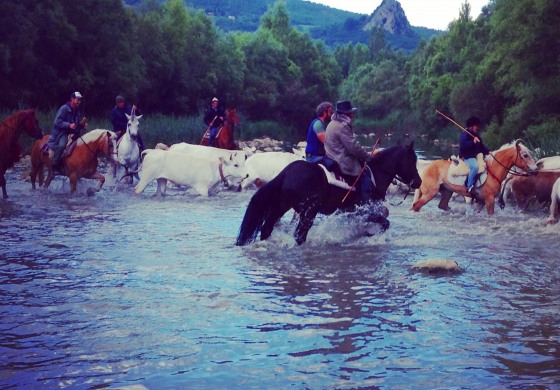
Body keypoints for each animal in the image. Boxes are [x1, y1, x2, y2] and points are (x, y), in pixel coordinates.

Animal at [234, 143, 422, 245]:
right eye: (412, 160)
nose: (418, 182)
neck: (375, 173)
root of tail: (286, 172)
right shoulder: (365, 211)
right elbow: (385, 222)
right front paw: (371, 236)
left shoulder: (347, 212)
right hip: (308, 212)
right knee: (299, 235)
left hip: (281, 206)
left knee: (267, 228)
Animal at [412, 140, 540, 215]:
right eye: (525, 155)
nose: (535, 169)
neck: (493, 170)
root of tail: (427, 168)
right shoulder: (489, 200)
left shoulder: (481, 201)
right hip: (430, 193)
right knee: (416, 206)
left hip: (447, 192)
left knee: (442, 205)